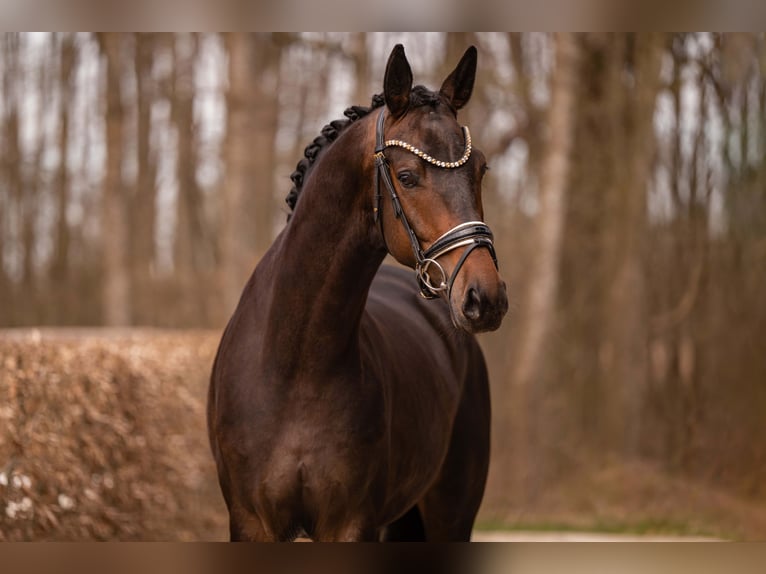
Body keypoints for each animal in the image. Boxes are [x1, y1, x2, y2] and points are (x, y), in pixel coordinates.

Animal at [207, 44, 508, 542]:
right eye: (407, 176)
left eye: (480, 169)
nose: (485, 299)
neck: (295, 366)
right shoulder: (251, 523)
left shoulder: (350, 524)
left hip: (450, 516)